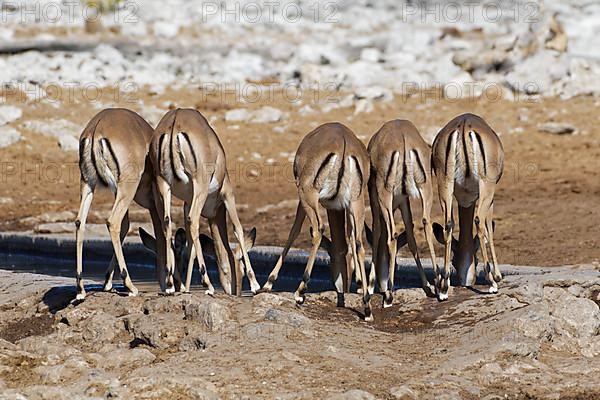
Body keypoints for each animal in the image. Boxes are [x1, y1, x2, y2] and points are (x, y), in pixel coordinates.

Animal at [75, 108, 173, 298]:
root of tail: (97, 127)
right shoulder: (156, 200)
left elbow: (127, 226)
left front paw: (107, 282)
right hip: (126, 188)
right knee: (113, 222)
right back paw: (131, 286)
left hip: (89, 184)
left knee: (80, 222)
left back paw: (81, 289)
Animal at [150, 108, 258, 296]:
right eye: (242, 269)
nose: (236, 292)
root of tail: (175, 121)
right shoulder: (227, 194)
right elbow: (238, 229)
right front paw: (255, 285)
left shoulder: (187, 203)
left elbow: (191, 247)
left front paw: (186, 289)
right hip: (199, 187)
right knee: (193, 221)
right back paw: (208, 285)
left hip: (163, 185)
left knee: (167, 223)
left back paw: (170, 285)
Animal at [262, 122, 376, 322]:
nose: (345, 284)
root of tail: (344, 144)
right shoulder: (340, 207)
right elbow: (349, 240)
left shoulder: (302, 198)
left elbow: (294, 231)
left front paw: (269, 282)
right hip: (356, 203)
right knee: (359, 243)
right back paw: (367, 308)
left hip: (308, 195)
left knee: (318, 229)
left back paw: (300, 292)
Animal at [366, 120, 436, 304]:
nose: (381, 284)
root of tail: (403, 136)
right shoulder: (404, 202)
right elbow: (411, 238)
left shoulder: (375, 202)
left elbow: (376, 235)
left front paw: (370, 286)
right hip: (426, 190)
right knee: (427, 225)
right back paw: (440, 287)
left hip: (384, 197)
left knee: (392, 236)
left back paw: (389, 295)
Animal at [432, 111, 506, 296]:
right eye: (477, 259)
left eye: (454, 261)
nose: (466, 281)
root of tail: (464, 125)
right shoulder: (490, 197)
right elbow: (489, 229)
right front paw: (497, 276)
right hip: (487, 187)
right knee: (479, 221)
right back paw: (492, 283)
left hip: (444, 186)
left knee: (448, 224)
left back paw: (443, 288)